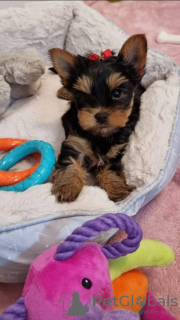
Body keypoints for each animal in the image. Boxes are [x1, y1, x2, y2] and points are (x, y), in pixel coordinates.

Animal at [48, 34, 147, 202]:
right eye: (84, 97)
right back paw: (64, 91)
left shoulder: (115, 150)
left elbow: (111, 168)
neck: (101, 135)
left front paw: (117, 188)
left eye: (117, 93)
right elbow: (70, 161)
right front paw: (67, 186)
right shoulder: (75, 141)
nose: (100, 116)